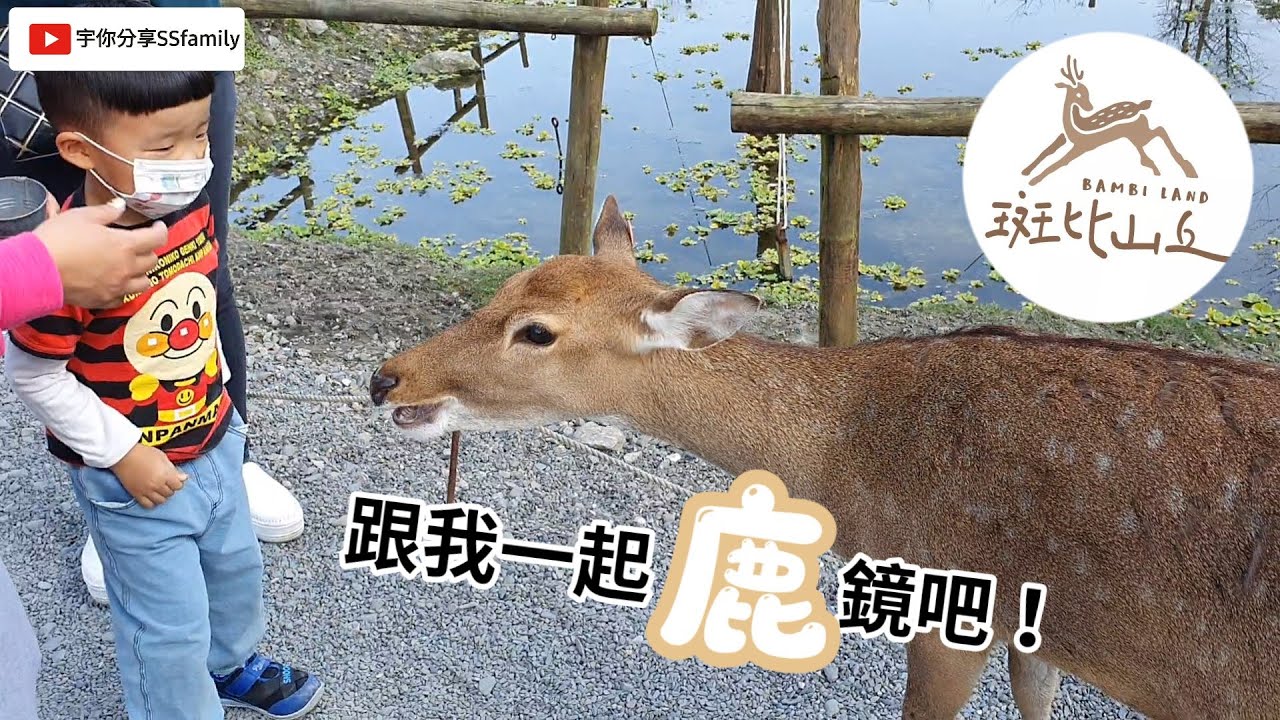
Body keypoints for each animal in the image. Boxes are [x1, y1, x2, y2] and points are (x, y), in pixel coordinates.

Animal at [369, 195, 1279, 719]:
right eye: (508, 284)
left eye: (537, 333)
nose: (387, 377)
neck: (847, 462)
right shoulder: (1040, 629)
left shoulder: (955, 599)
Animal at [1022, 55, 1198, 187]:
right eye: (1079, 93)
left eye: (1086, 92)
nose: (1090, 107)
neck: (1074, 126)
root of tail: (1141, 106)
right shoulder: (1064, 137)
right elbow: (1046, 151)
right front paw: (1025, 171)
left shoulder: (1081, 146)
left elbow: (1058, 163)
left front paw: (1033, 181)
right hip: (1136, 134)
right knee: (1153, 138)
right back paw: (1159, 168)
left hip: (1138, 133)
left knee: (1160, 131)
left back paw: (1187, 169)